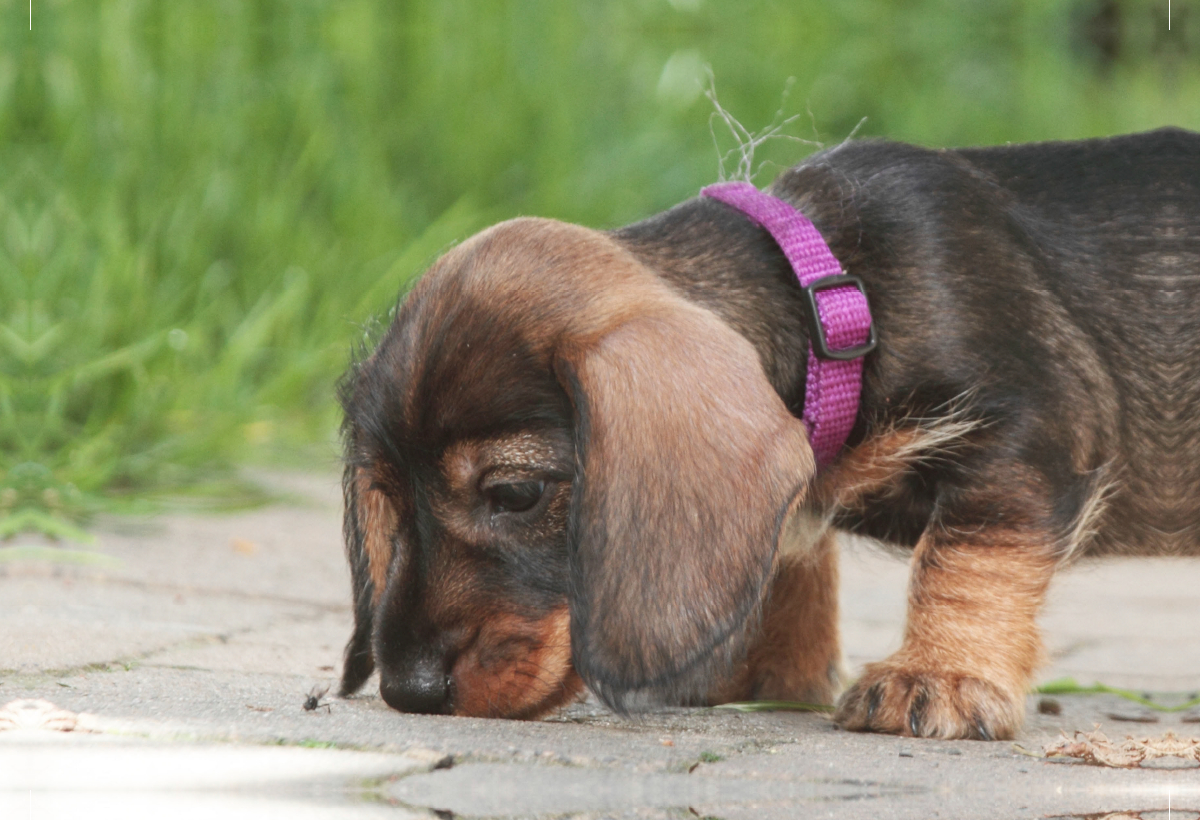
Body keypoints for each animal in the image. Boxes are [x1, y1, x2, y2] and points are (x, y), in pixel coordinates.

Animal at [336, 126, 1200, 739]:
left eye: (515, 492)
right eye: (387, 500)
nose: (408, 690)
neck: (840, 300)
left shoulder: (1022, 437)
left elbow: (966, 559)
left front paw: (940, 675)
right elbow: (787, 555)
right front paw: (771, 675)